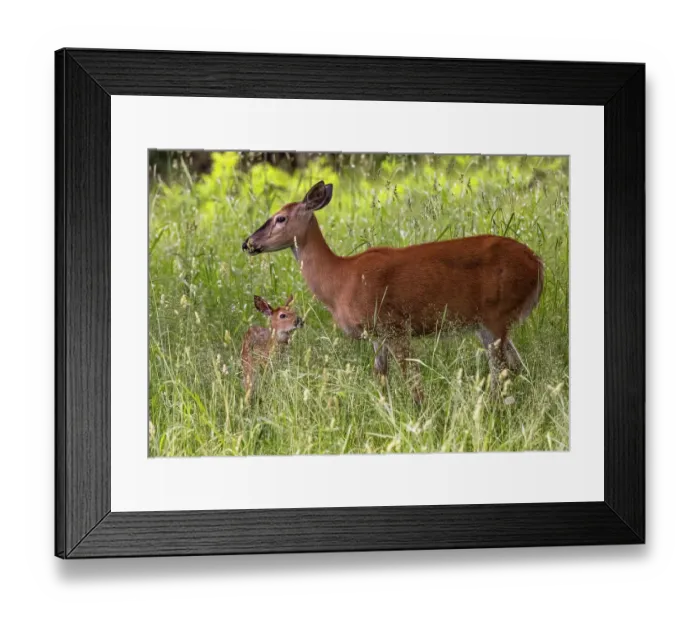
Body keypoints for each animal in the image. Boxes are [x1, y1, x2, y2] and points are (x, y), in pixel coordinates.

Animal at [242, 181, 544, 402]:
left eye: (280, 218)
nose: (248, 242)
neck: (340, 279)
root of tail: (537, 264)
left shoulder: (396, 325)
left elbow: (412, 380)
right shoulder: (377, 334)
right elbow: (381, 377)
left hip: (497, 313)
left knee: (502, 369)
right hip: (487, 322)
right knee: (516, 366)